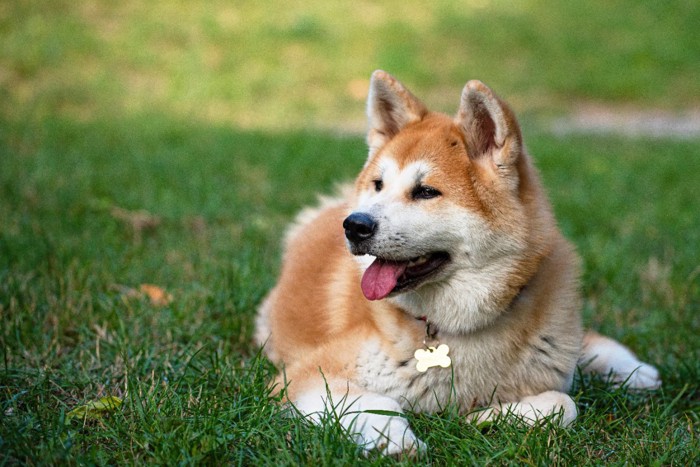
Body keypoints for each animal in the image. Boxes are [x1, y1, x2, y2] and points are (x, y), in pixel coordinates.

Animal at [254, 71, 660, 456]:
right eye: (378, 185)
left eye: (425, 192)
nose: (354, 225)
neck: (454, 330)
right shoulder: (303, 377)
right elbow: (376, 404)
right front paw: (395, 440)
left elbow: (565, 404)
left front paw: (483, 417)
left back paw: (633, 370)